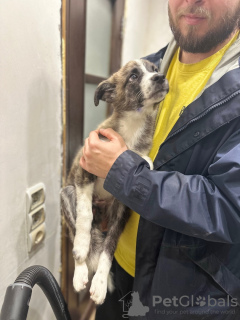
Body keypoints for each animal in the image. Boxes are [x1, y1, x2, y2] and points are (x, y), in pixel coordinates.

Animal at [61, 58, 168, 304]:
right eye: (133, 76)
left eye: (154, 70)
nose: (161, 78)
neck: (133, 124)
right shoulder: (84, 174)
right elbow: (84, 217)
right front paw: (81, 248)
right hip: (67, 195)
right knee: (76, 229)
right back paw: (80, 269)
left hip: (119, 212)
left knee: (108, 247)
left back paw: (99, 283)